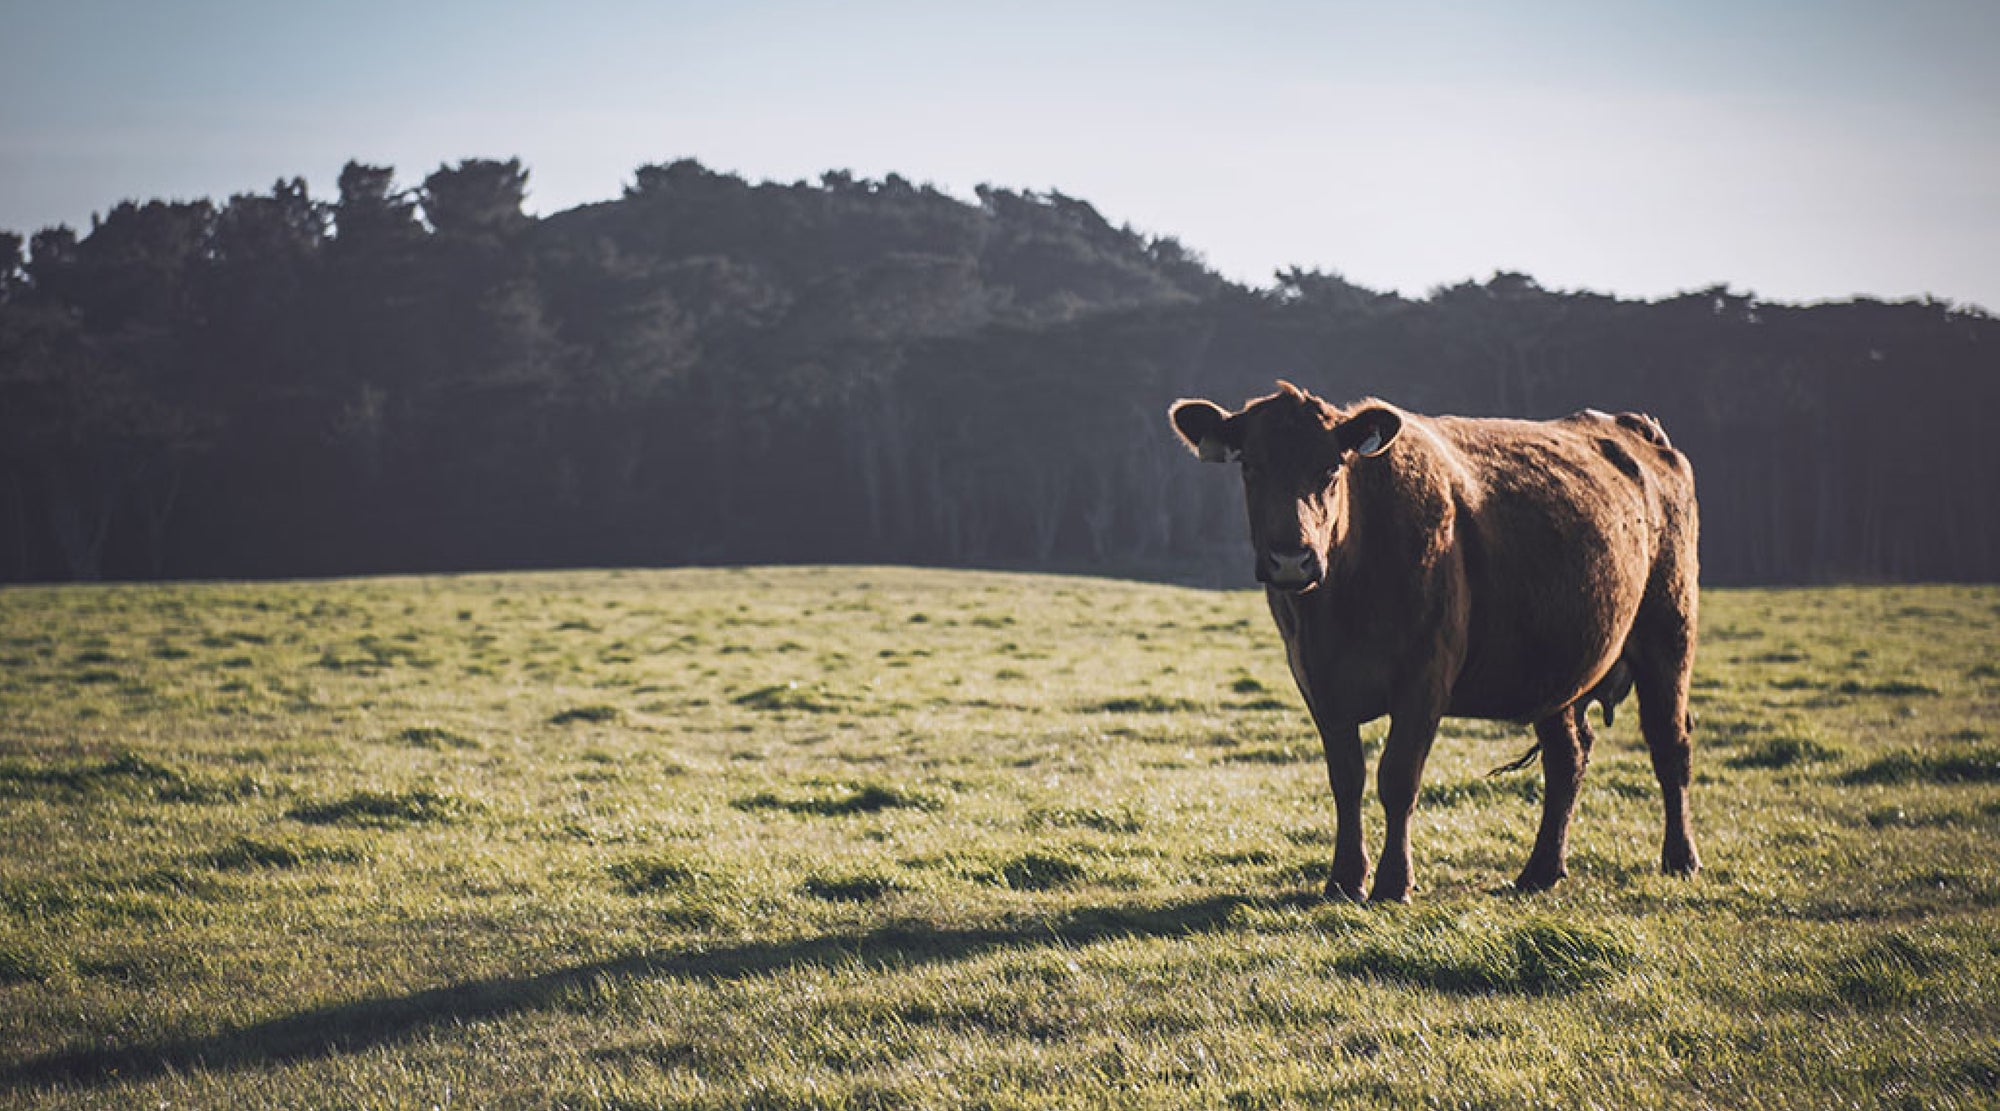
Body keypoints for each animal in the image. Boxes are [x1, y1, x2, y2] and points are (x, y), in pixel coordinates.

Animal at [1168, 381, 1704, 903]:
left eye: (1331, 467)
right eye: (1250, 467)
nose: (1290, 560)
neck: (1341, 603)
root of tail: (1637, 429)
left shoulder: (1424, 679)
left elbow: (1397, 777)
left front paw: (1393, 882)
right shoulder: (1318, 684)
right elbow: (1346, 779)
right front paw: (1344, 879)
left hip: (1668, 633)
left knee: (1669, 743)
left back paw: (1680, 858)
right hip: (1557, 673)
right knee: (1567, 758)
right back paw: (1540, 871)